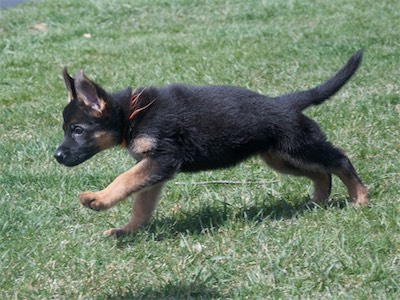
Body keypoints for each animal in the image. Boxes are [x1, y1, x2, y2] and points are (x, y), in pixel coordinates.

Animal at [54, 49, 368, 237]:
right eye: (66, 129)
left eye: (77, 130)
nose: (57, 156)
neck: (132, 114)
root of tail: (285, 103)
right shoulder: (154, 169)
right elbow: (140, 205)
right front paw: (128, 230)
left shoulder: (162, 159)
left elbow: (123, 180)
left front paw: (98, 199)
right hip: (281, 157)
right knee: (321, 173)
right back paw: (317, 202)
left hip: (298, 146)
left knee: (340, 160)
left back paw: (361, 199)